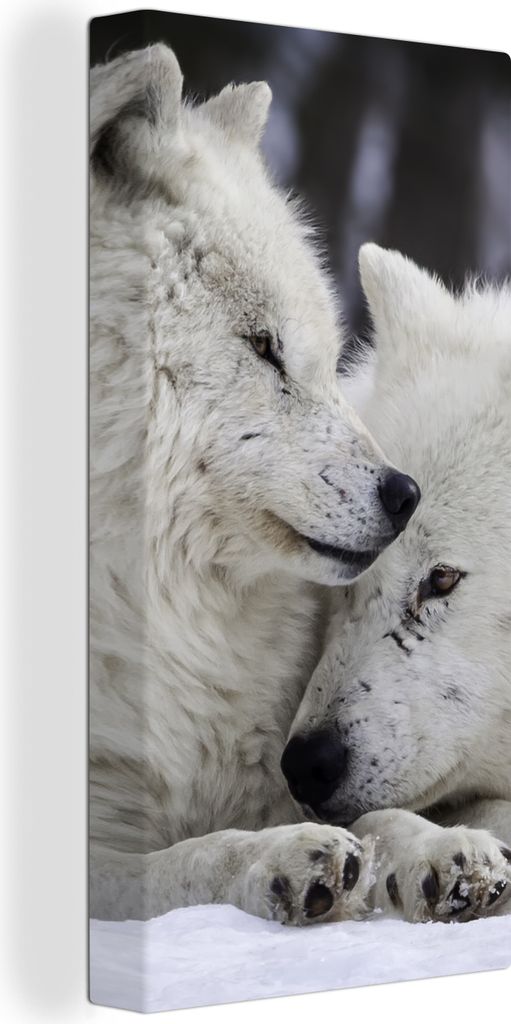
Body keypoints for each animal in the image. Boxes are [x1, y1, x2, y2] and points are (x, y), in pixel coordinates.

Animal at [89, 46, 422, 925]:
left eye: (325, 353)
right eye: (262, 345)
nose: (404, 495)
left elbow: (375, 810)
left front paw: (447, 853)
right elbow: (173, 864)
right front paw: (280, 860)